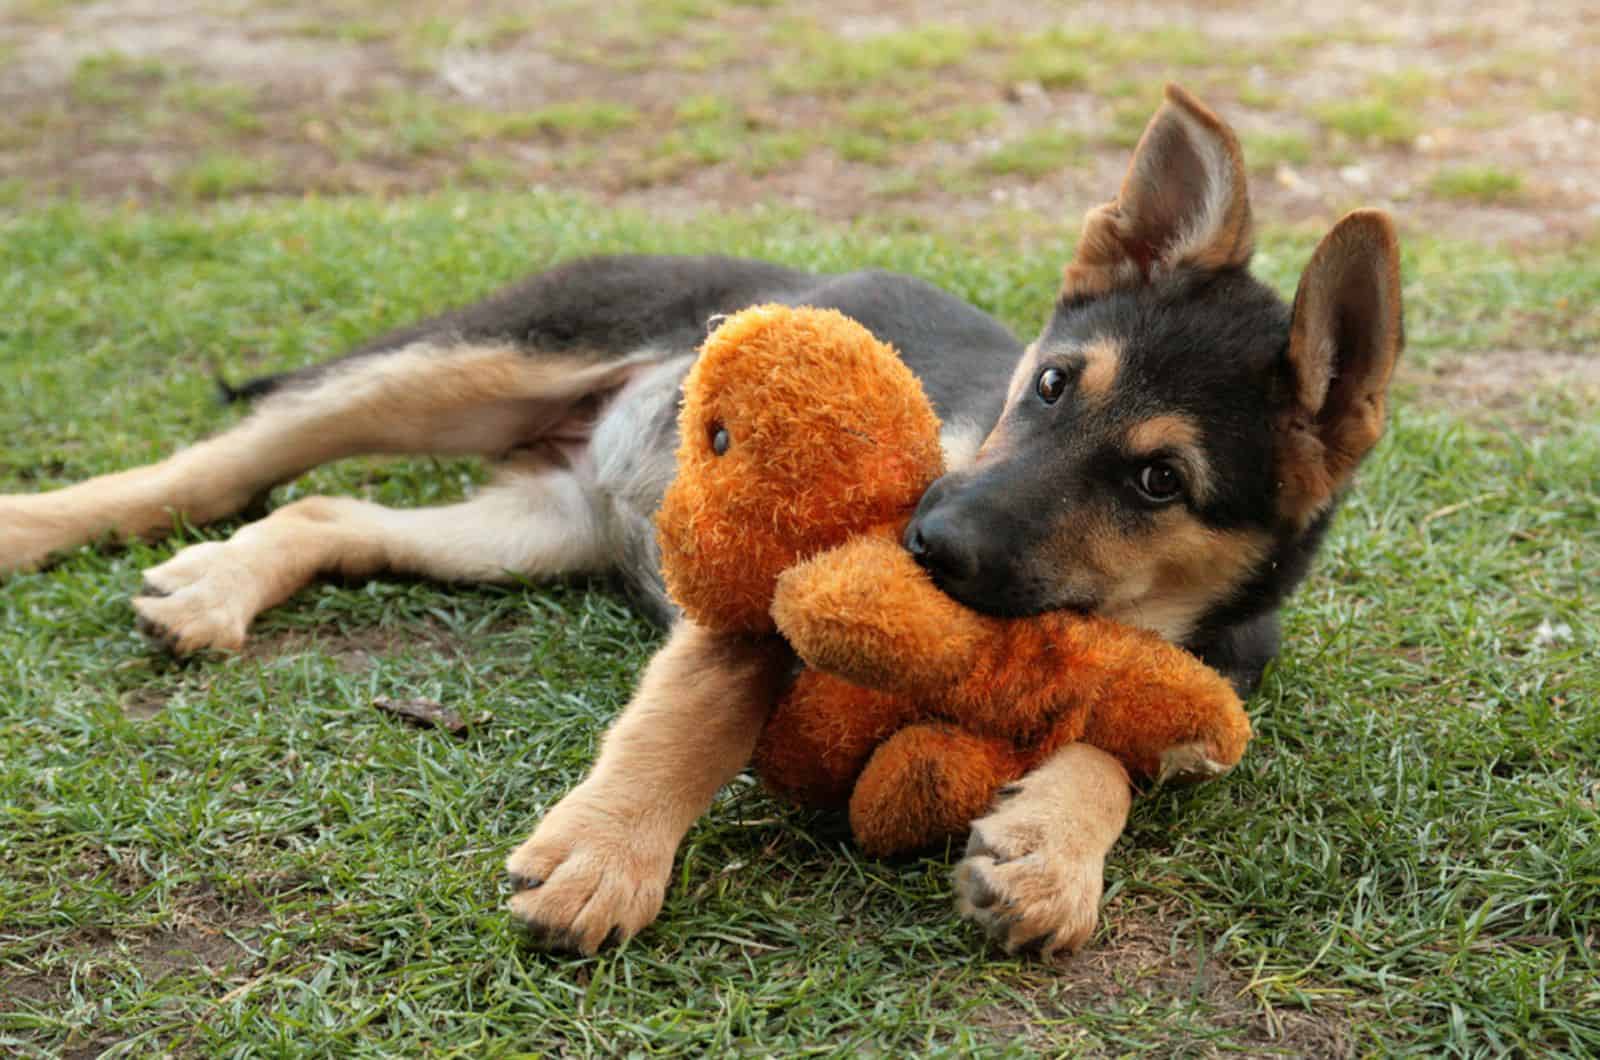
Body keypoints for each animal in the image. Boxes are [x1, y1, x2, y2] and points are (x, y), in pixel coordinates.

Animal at [0, 87, 1401, 960]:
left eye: (1159, 482)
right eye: (1052, 384)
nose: (925, 546)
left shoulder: (1208, 671)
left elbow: (1123, 738)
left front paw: (1051, 851)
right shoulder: (770, 582)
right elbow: (707, 700)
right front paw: (609, 854)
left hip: (537, 524)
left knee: (327, 505)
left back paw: (219, 587)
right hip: (476, 362)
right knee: (235, 461)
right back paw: (42, 524)